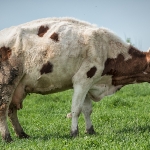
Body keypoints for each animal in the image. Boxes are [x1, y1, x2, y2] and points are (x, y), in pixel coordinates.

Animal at [0, 17, 150, 142]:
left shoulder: (88, 83)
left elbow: (87, 109)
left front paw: (90, 131)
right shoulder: (82, 79)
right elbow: (76, 109)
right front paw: (74, 133)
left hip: (19, 86)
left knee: (12, 110)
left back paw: (22, 134)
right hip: (8, 79)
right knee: (3, 107)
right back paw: (7, 137)